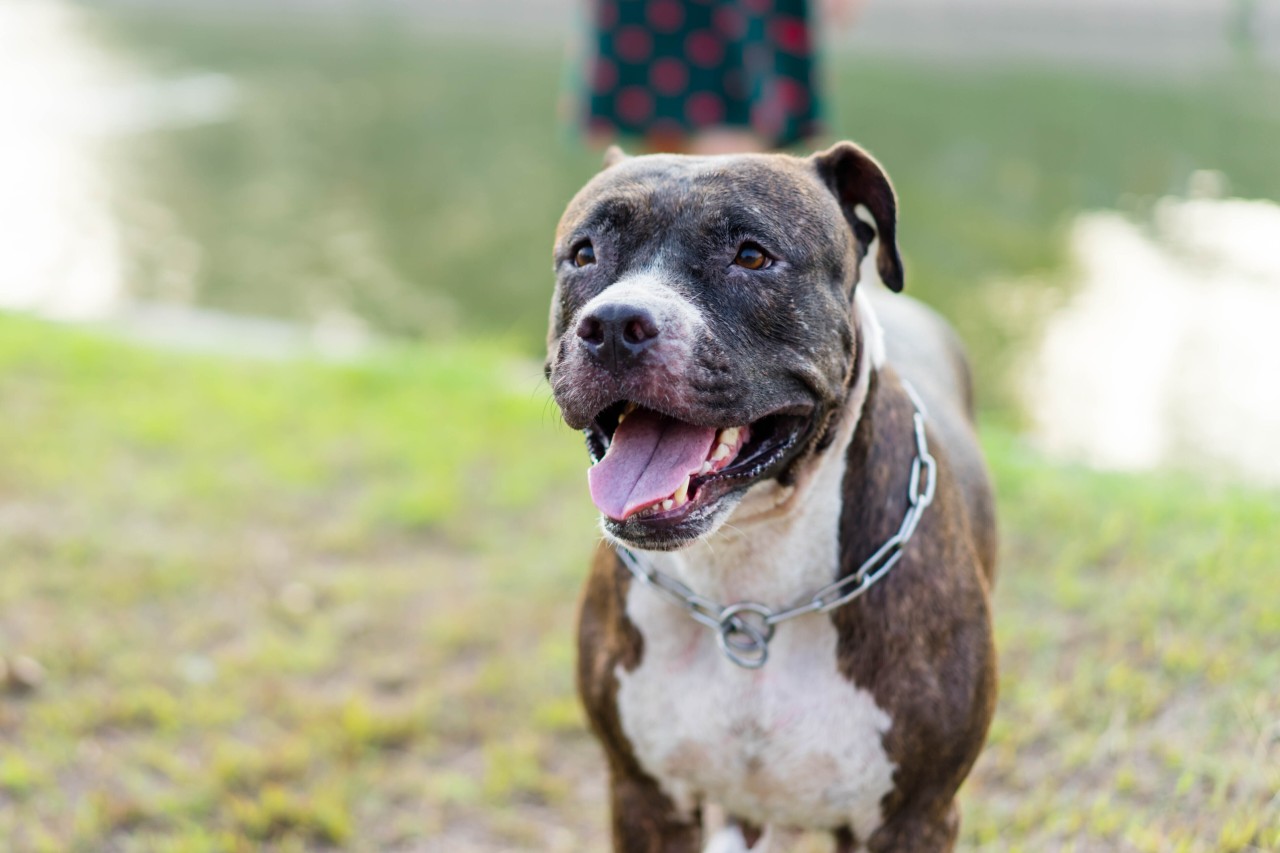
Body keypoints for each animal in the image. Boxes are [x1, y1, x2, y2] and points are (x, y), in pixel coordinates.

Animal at [540, 142, 998, 845]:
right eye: (585, 254)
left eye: (752, 256)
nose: (615, 323)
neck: (747, 578)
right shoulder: (643, 794)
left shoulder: (915, 815)